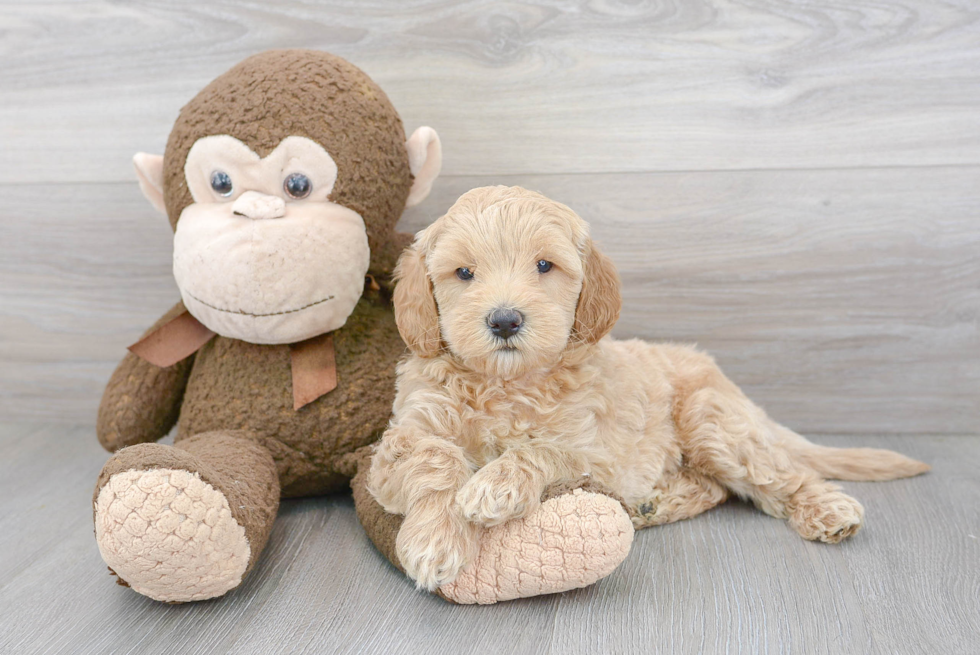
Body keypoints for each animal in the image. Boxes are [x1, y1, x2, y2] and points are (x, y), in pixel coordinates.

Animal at [366, 187, 928, 592]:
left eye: (544, 265)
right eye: (463, 273)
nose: (505, 320)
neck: (507, 384)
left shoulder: (591, 451)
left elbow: (541, 449)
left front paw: (495, 485)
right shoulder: (396, 443)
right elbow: (439, 456)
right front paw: (435, 539)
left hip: (713, 421)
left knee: (780, 475)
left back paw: (828, 510)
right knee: (716, 486)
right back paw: (652, 506)